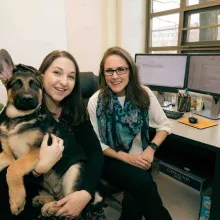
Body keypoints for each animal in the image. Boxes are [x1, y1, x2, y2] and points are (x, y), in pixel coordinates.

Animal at [0, 49, 102, 217]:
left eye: (35, 85)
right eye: (16, 84)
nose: (28, 99)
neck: (20, 118)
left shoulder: (34, 151)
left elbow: (13, 169)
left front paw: (16, 201)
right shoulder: (8, 155)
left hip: (74, 170)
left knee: (71, 205)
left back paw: (52, 208)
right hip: (45, 184)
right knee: (58, 198)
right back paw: (44, 201)